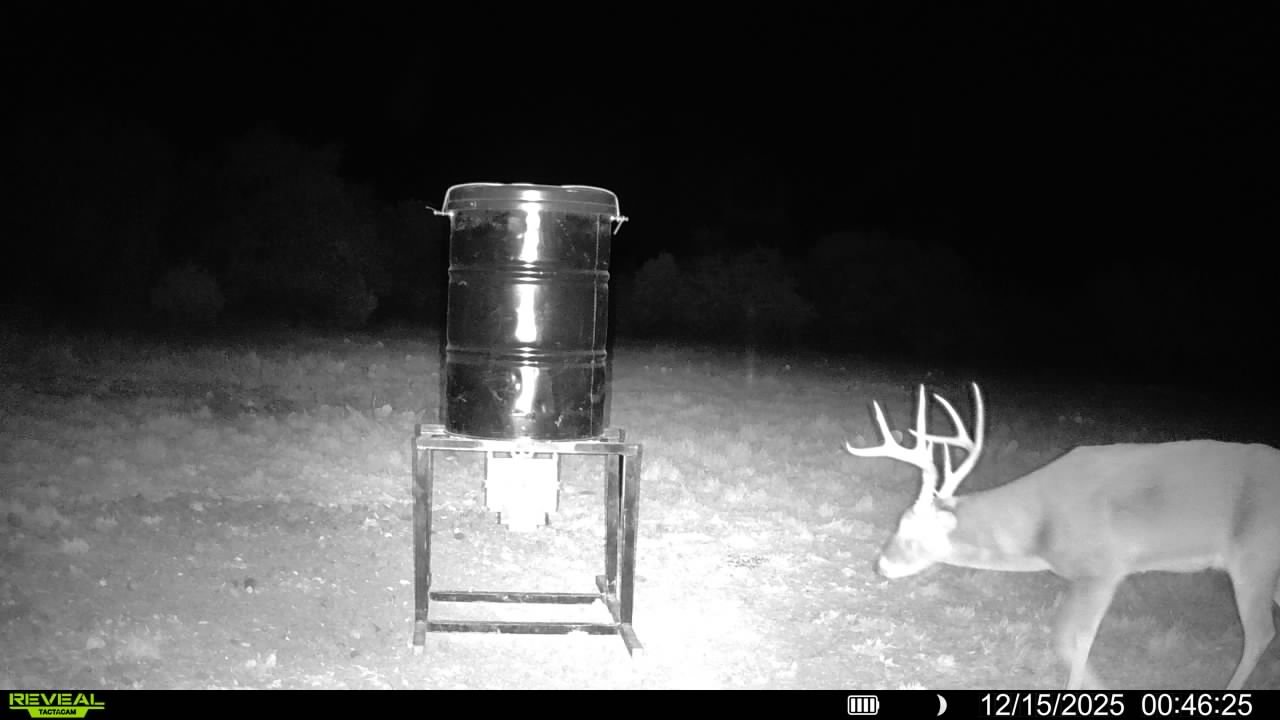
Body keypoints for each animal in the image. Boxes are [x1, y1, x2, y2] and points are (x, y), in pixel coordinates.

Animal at [844, 382, 1280, 690]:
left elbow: (1075, 640)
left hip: (1254, 557)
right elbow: (1062, 639)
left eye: (909, 529)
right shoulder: (1079, 576)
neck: (1041, 530)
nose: (881, 565)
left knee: (1260, 633)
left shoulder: (1104, 568)